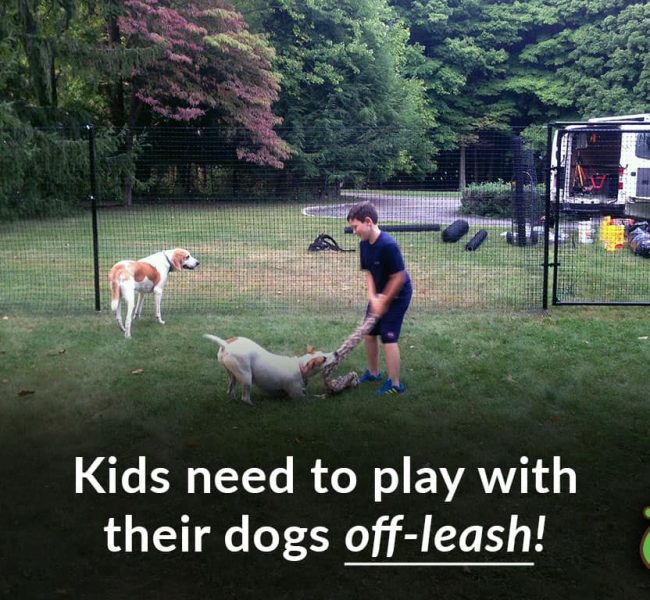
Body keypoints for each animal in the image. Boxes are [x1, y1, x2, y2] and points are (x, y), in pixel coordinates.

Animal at [204, 336, 334, 406]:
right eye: (324, 359)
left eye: (322, 353)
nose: (336, 353)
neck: (299, 366)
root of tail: (226, 344)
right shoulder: (298, 396)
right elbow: (311, 397)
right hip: (246, 377)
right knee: (245, 398)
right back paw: (252, 405)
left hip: (232, 376)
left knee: (230, 391)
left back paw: (233, 400)